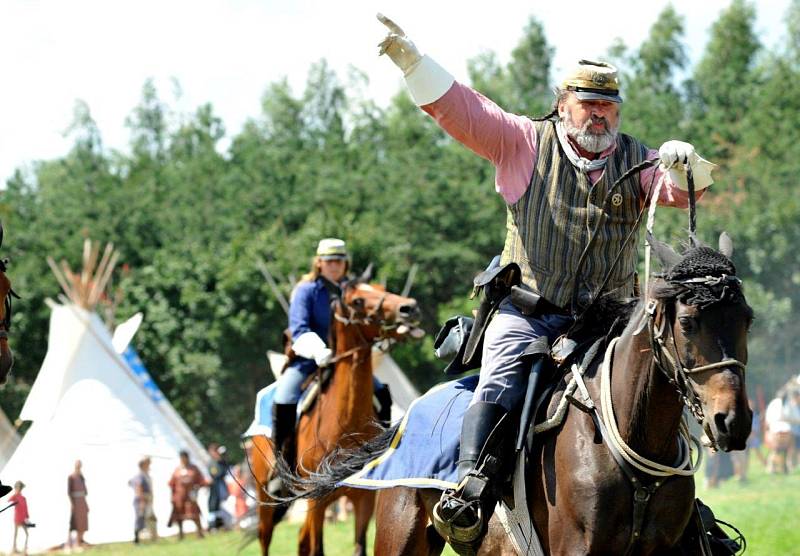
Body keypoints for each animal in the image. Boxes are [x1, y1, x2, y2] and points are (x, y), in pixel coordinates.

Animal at [253, 276, 422, 552]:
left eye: (382, 289)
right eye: (358, 300)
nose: (409, 308)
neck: (344, 424)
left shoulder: (364, 499)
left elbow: (358, 547)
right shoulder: (317, 502)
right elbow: (318, 548)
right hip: (266, 501)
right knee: (265, 539)